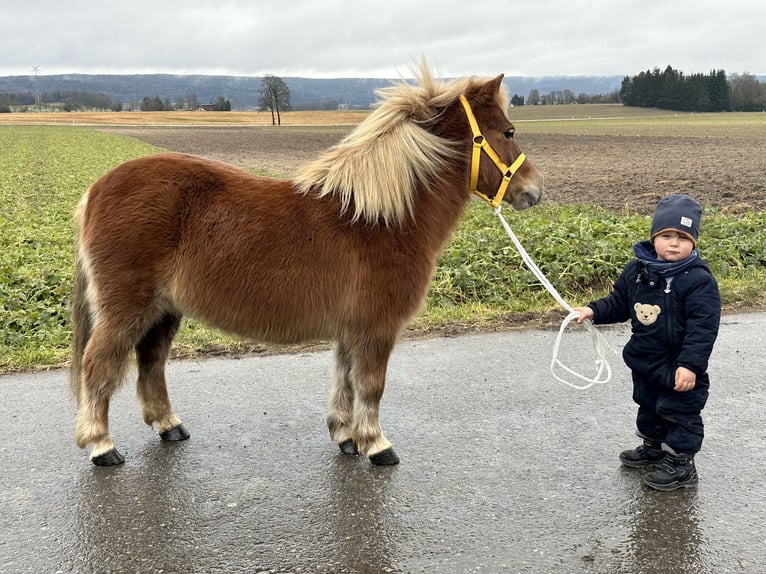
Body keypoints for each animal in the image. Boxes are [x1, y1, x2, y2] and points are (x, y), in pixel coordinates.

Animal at [67, 64, 544, 468]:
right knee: (100, 365)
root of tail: (96, 190)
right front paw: (376, 444)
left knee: (151, 361)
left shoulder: (352, 328)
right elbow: (371, 384)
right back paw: (101, 445)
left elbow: (345, 380)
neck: (379, 218)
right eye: (507, 131)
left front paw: (346, 436)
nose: (534, 191)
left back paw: (169, 426)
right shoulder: (376, 326)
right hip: (126, 309)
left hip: (163, 311)